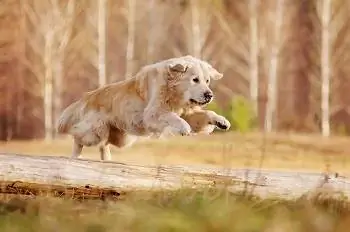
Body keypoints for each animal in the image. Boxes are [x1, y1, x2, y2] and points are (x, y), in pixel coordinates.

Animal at [56, 56, 231, 160]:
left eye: (207, 81)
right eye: (195, 79)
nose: (209, 95)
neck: (174, 93)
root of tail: (87, 96)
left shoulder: (187, 113)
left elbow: (207, 113)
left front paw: (221, 121)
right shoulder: (153, 113)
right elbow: (171, 117)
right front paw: (183, 127)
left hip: (120, 137)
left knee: (103, 145)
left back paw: (106, 161)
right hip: (94, 132)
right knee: (78, 137)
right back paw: (74, 156)